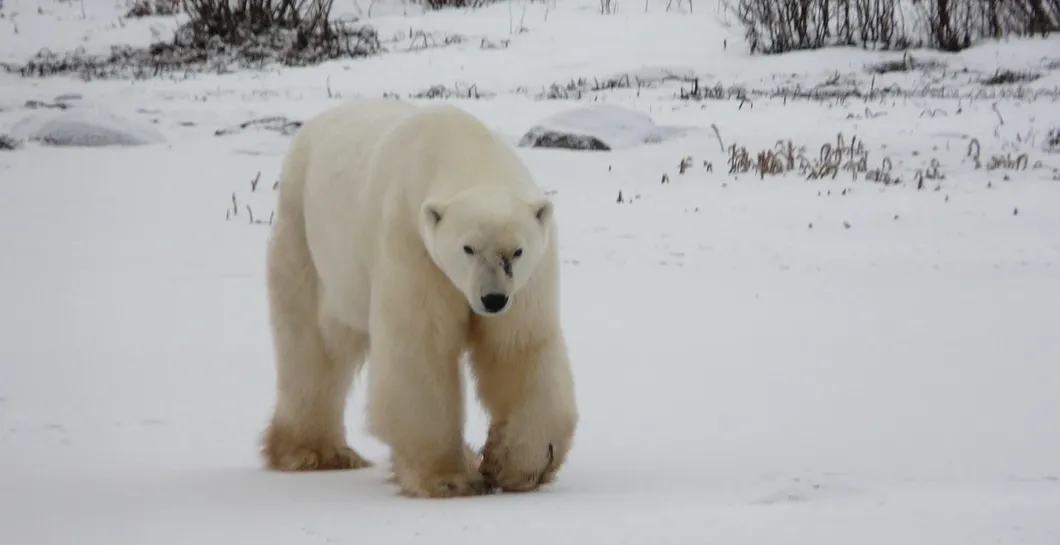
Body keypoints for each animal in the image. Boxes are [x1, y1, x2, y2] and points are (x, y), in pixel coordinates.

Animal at [261, 98, 579, 499]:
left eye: (516, 251)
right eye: (468, 248)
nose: (492, 299)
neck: (463, 148)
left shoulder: (528, 281)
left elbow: (519, 348)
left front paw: (518, 465)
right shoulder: (412, 244)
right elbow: (420, 349)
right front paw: (450, 477)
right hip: (305, 235)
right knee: (311, 344)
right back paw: (314, 452)